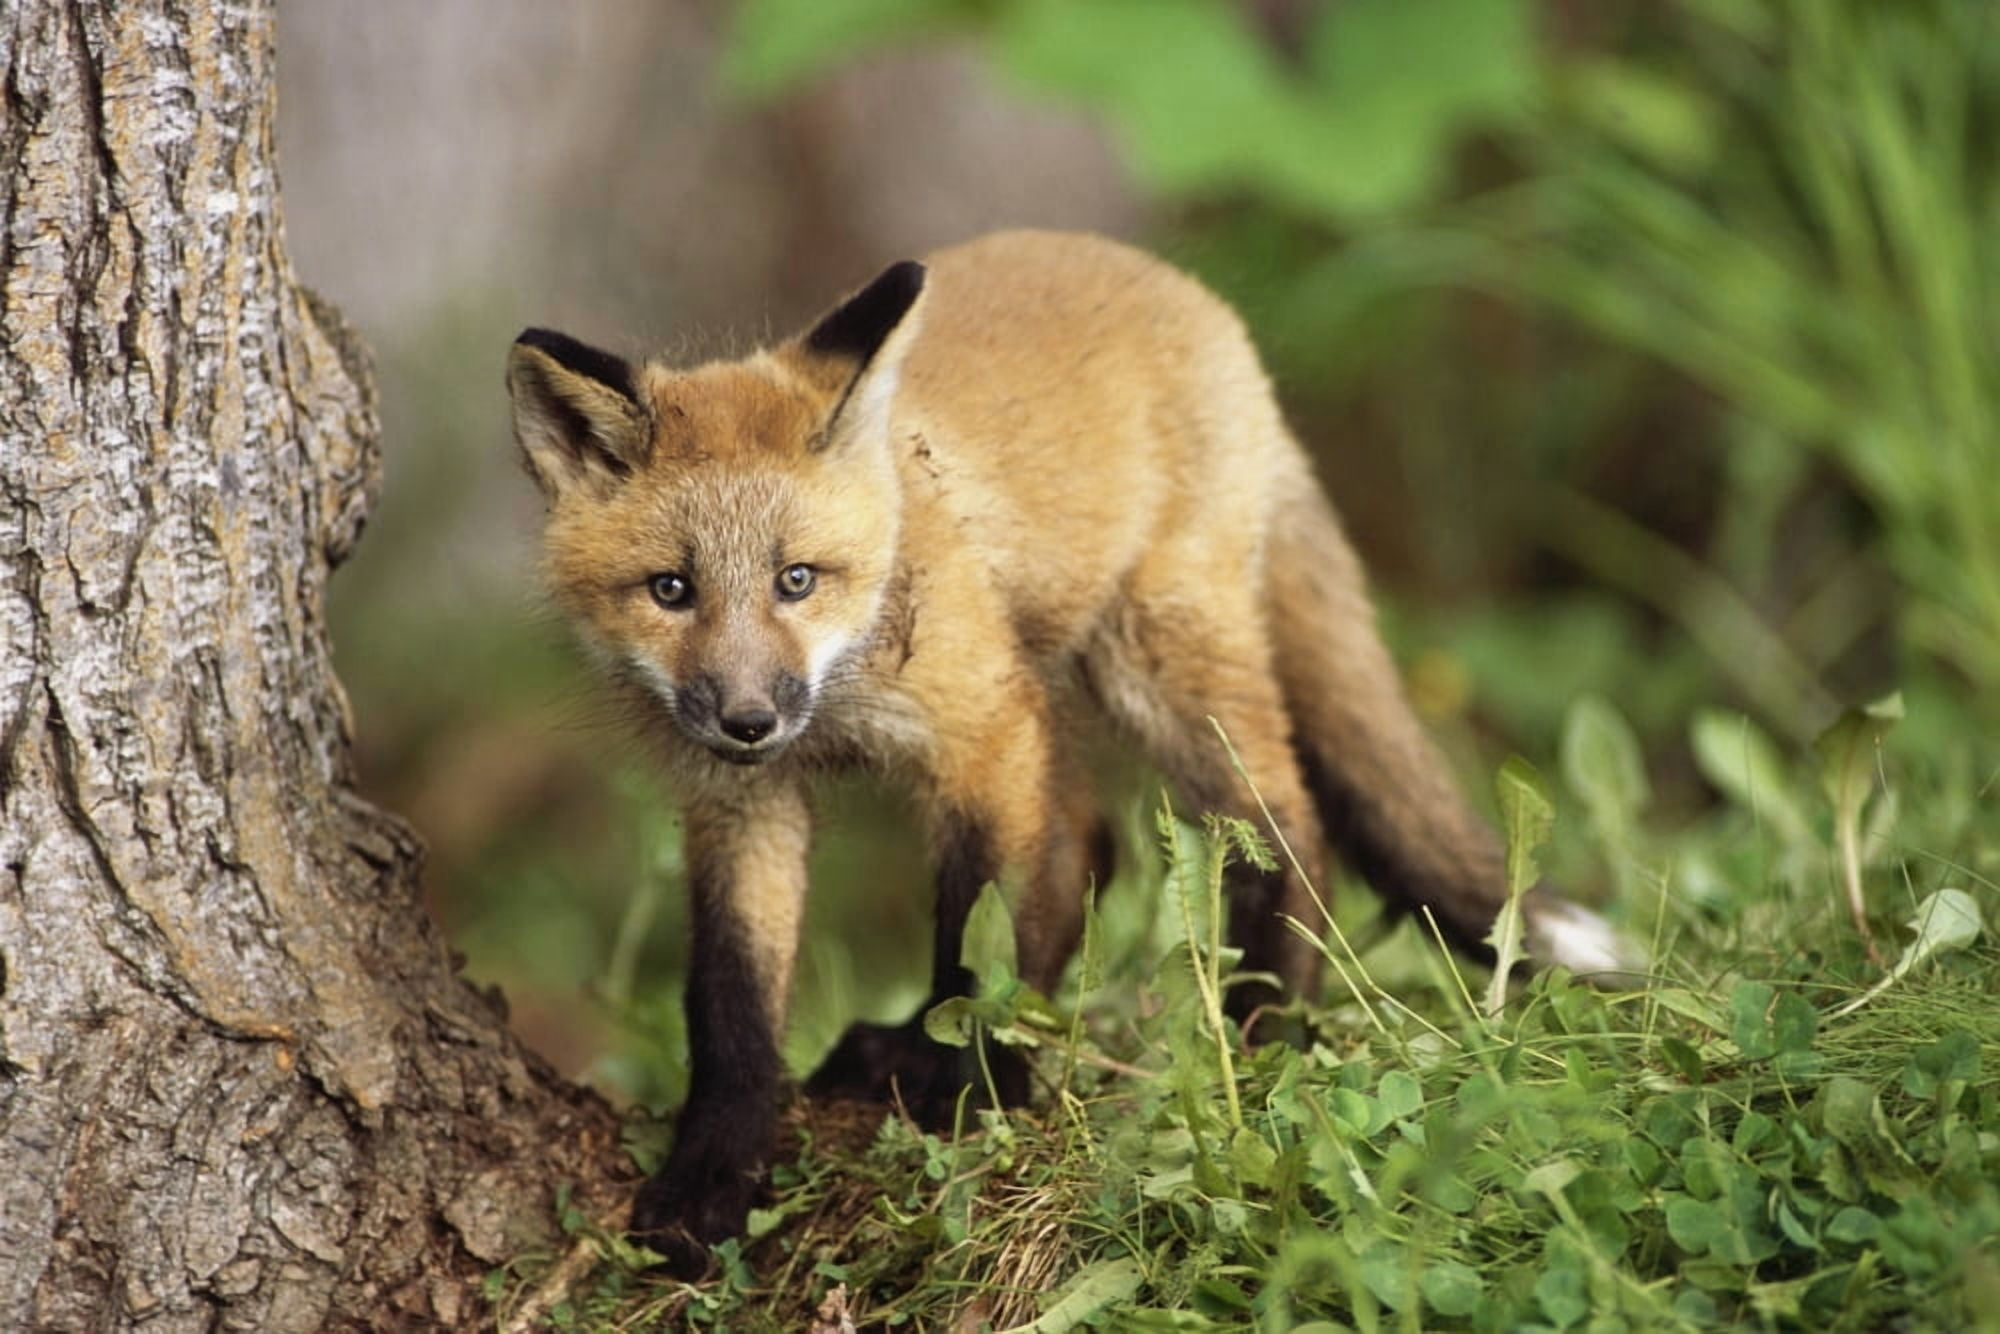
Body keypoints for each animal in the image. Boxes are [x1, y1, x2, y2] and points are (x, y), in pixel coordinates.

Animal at [506, 229, 1624, 1273]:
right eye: (670, 589)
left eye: (796, 579)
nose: (746, 718)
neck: (842, 692)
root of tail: (1177, 288)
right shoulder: (742, 801)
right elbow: (730, 1001)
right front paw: (714, 1175)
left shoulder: (983, 730)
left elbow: (980, 941)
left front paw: (970, 1088)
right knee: (1092, 840)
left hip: (1156, 665)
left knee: (1285, 823)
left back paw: (1263, 1036)